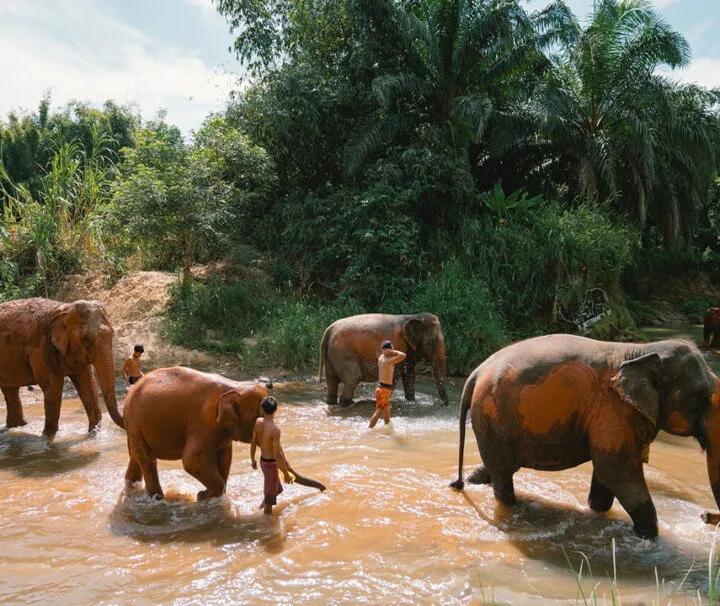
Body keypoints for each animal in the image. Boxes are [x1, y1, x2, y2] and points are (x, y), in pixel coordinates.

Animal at [0, 298, 124, 437]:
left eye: (112, 334)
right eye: (86, 340)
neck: (64, 308)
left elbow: (88, 384)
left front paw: (94, 433)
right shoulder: (43, 348)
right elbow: (53, 388)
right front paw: (47, 436)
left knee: (10, 389)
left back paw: (18, 426)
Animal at [123, 366, 325, 500]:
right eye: (260, 419)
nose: (324, 489)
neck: (234, 386)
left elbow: (225, 458)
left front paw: (212, 496)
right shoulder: (201, 423)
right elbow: (192, 460)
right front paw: (203, 496)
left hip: (134, 425)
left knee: (135, 455)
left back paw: (131, 485)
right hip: (134, 422)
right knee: (147, 459)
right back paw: (157, 498)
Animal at [318, 313, 450, 407]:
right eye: (432, 342)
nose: (445, 405)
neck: (414, 316)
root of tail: (328, 331)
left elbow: (409, 376)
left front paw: (411, 402)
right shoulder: (398, 346)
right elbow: (394, 375)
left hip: (332, 355)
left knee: (331, 380)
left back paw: (332, 402)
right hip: (343, 353)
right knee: (352, 378)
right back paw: (350, 404)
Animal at [450, 333, 720, 539]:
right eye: (702, 399)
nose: (705, 517)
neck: (642, 350)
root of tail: (476, 372)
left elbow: (606, 474)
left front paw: (597, 512)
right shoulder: (614, 410)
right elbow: (615, 471)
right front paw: (650, 537)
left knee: (494, 468)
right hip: (493, 416)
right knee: (503, 475)